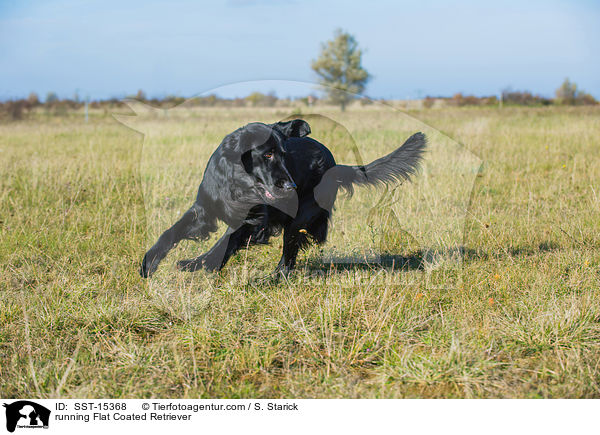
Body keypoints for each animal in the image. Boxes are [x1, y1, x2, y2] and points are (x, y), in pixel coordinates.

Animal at [139, 119, 426, 278]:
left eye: (284, 154)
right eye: (267, 154)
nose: (291, 186)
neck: (237, 184)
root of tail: (335, 165)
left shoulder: (256, 221)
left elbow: (226, 240)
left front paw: (197, 264)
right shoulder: (204, 210)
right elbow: (171, 232)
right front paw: (149, 264)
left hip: (298, 218)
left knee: (287, 262)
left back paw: (269, 279)